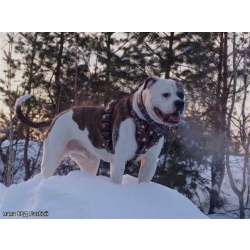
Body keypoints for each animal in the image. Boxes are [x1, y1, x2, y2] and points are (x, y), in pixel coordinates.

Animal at [15, 77, 184, 185]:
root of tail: (56, 117)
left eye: (181, 95)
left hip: (89, 161)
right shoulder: (119, 159)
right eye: (165, 94)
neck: (144, 122)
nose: (180, 103)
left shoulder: (150, 161)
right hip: (52, 157)